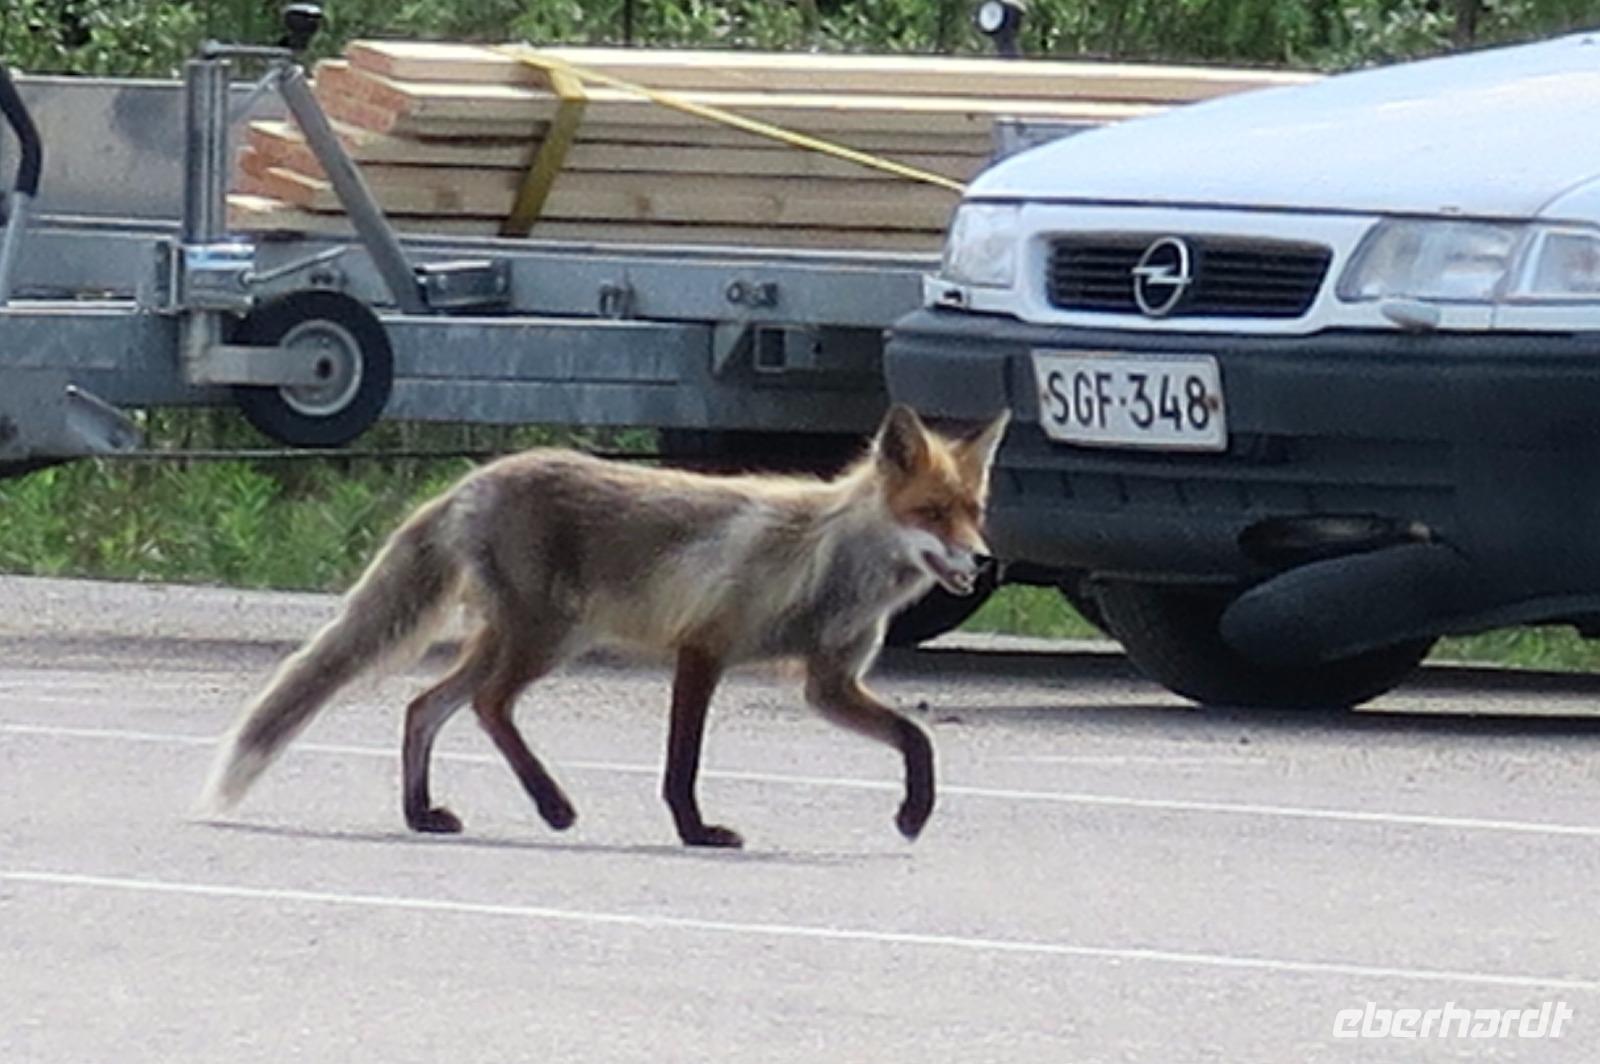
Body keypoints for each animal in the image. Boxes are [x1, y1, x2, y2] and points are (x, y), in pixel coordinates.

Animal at [199, 404, 1009, 848]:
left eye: (975, 512)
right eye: (932, 512)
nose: (984, 560)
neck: (826, 565)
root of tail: (471, 481)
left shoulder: (828, 684)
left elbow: (917, 740)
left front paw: (914, 814)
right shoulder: (704, 648)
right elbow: (682, 764)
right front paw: (696, 833)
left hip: (523, 638)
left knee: (425, 706)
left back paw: (422, 813)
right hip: (543, 637)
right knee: (488, 707)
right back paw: (552, 806)